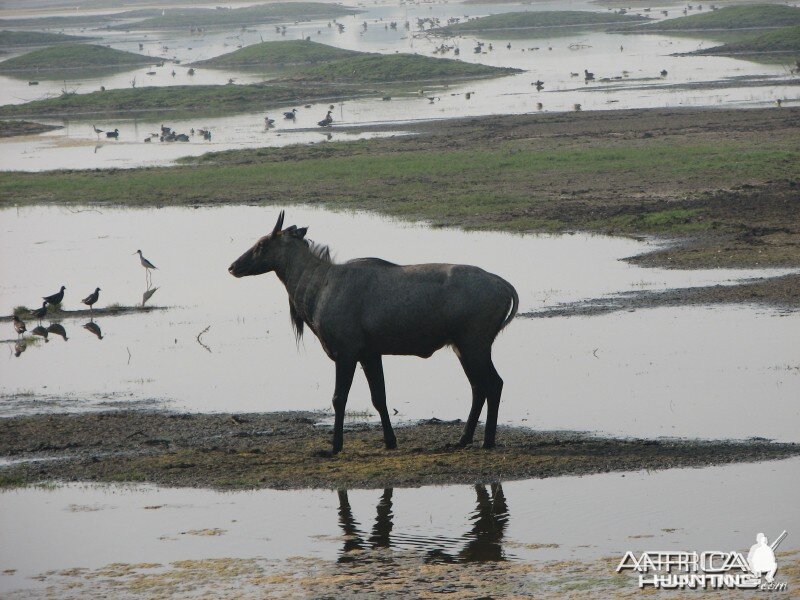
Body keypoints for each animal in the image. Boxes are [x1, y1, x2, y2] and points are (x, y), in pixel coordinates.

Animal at [228, 213, 520, 452]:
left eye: (262, 244)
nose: (233, 266)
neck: (316, 289)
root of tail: (506, 288)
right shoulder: (370, 353)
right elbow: (379, 397)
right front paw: (390, 441)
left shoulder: (345, 351)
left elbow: (339, 398)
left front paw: (334, 447)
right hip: (461, 346)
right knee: (478, 387)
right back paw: (463, 439)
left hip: (475, 343)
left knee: (493, 383)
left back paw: (487, 440)